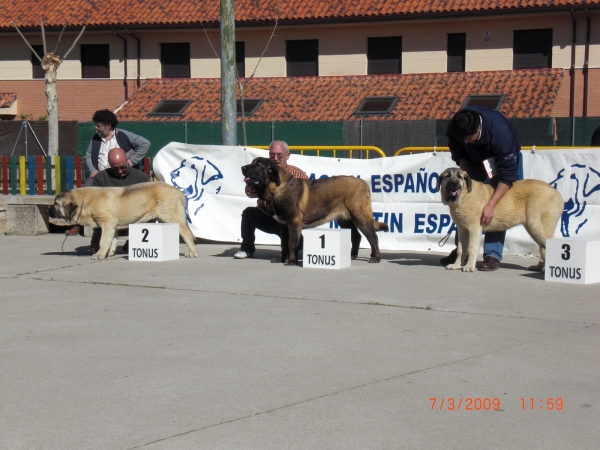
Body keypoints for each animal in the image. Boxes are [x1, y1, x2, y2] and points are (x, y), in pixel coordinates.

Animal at [49, 182, 198, 260]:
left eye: (56, 203)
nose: (48, 210)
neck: (84, 201)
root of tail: (178, 191)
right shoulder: (113, 226)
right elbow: (113, 240)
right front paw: (110, 253)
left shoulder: (107, 224)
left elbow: (103, 241)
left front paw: (99, 255)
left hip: (171, 217)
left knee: (187, 234)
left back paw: (191, 252)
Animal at [241, 157, 386, 266]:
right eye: (253, 163)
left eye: (258, 166)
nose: (242, 167)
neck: (277, 190)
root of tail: (364, 183)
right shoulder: (283, 225)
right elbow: (283, 243)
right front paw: (281, 258)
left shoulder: (293, 222)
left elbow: (292, 243)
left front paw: (291, 261)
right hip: (345, 219)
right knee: (356, 236)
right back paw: (352, 255)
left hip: (360, 216)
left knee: (373, 237)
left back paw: (375, 257)